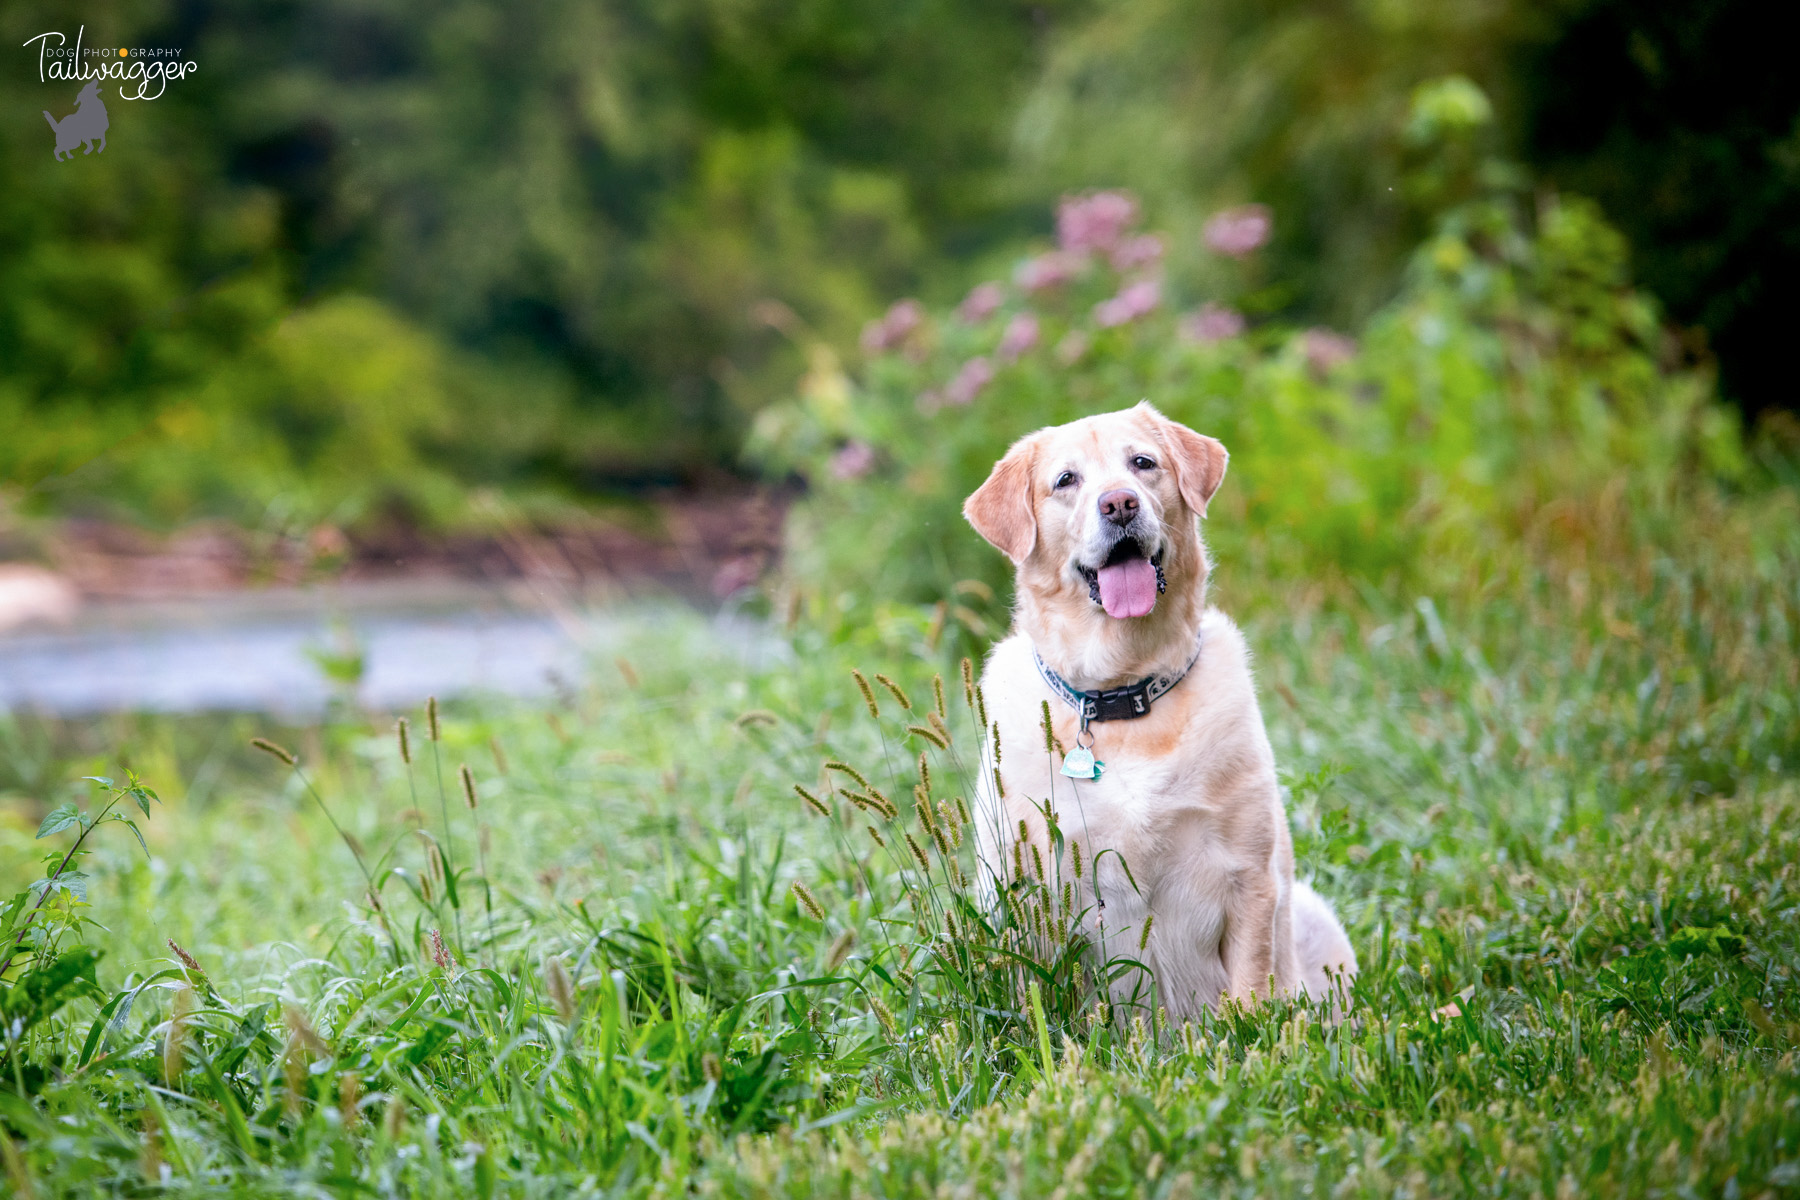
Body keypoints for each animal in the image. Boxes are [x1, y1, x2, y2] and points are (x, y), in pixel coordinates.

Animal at [972, 406, 1353, 1021]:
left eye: (1143, 463)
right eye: (1066, 480)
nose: (1120, 504)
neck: (1123, 693)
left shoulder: (1250, 874)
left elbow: (1252, 985)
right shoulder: (1030, 891)